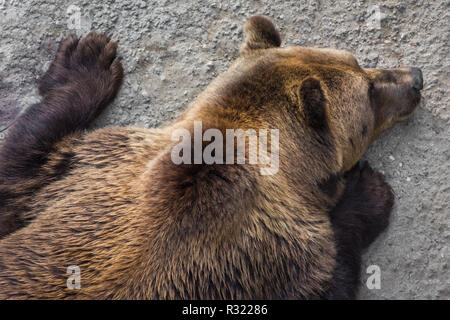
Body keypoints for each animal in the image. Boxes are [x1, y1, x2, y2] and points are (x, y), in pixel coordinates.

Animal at [0, 15, 422, 300]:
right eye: (369, 92)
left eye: (356, 61)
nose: (415, 78)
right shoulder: (265, 259)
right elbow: (328, 276)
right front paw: (367, 192)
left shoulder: (90, 171)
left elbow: (23, 163)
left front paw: (86, 59)